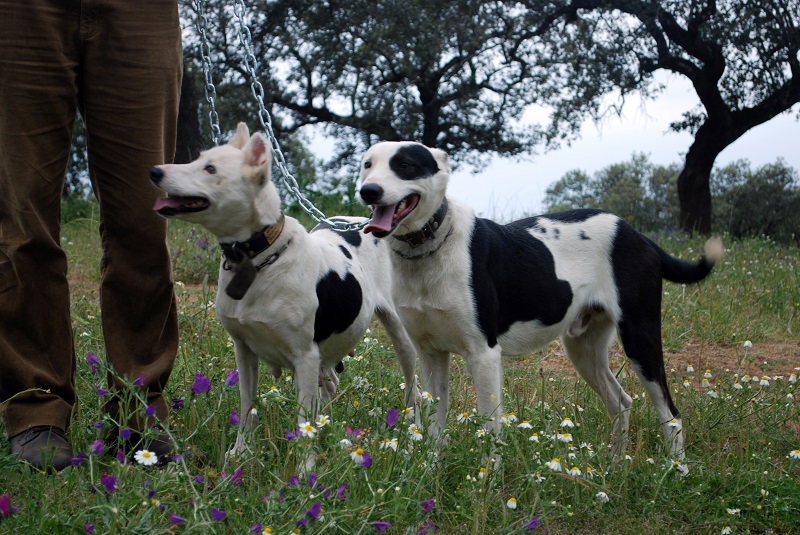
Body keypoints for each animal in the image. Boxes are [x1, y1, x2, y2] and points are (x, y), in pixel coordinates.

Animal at [151, 122, 422, 460]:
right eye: (197, 159)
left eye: (210, 168)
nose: (155, 171)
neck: (258, 257)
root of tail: (367, 222)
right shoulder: (244, 349)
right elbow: (247, 404)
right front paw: (241, 452)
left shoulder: (305, 357)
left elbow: (303, 421)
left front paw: (306, 468)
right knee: (329, 385)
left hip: (400, 337)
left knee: (413, 387)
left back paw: (415, 433)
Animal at [360, 142, 720, 460]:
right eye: (367, 164)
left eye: (405, 165)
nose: (368, 191)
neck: (428, 247)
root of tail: (638, 235)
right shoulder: (431, 355)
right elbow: (435, 430)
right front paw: (430, 476)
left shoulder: (484, 355)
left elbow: (489, 430)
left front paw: (485, 484)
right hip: (583, 348)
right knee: (621, 402)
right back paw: (615, 467)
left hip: (639, 338)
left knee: (670, 413)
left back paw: (676, 471)